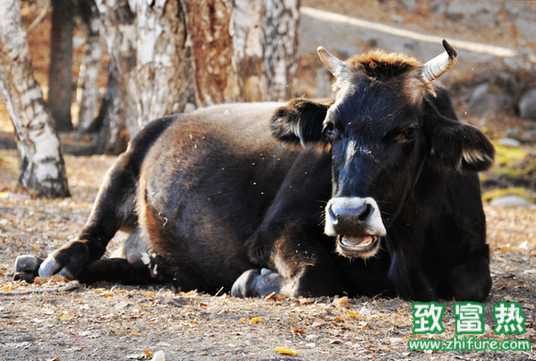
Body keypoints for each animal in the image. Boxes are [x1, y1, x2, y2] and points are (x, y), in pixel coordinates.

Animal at [16, 39, 494, 300]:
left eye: (407, 131)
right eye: (331, 128)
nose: (348, 215)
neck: (404, 246)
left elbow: (475, 285)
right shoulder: (276, 232)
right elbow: (313, 277)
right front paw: (249, 281)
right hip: (123, 167)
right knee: (89, 236)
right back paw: (49, 263)